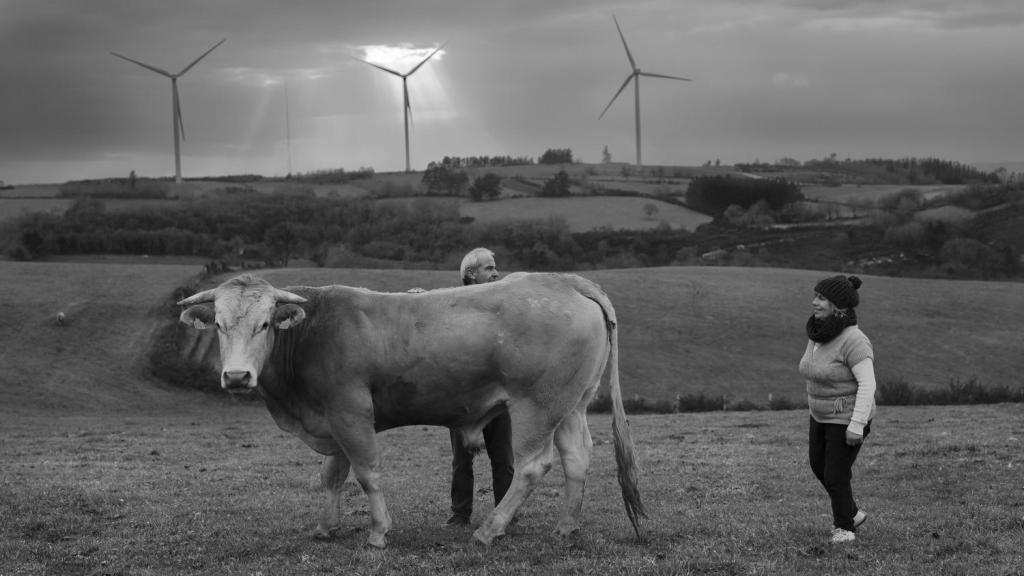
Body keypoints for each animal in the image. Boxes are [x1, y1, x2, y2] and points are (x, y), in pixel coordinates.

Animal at [175, 270, 638, 545]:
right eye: (219, 325)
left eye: (265, 323)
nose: (237, 377)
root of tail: (563, 281)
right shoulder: (331, 418)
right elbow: (332, 476)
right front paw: (326, 527)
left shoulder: (350, 412)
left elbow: (366, 474)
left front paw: (379, 533)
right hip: (570, 404)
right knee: (577, 458)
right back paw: (565, 526)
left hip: (536, 406)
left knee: (531, 466)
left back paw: (489, 530)